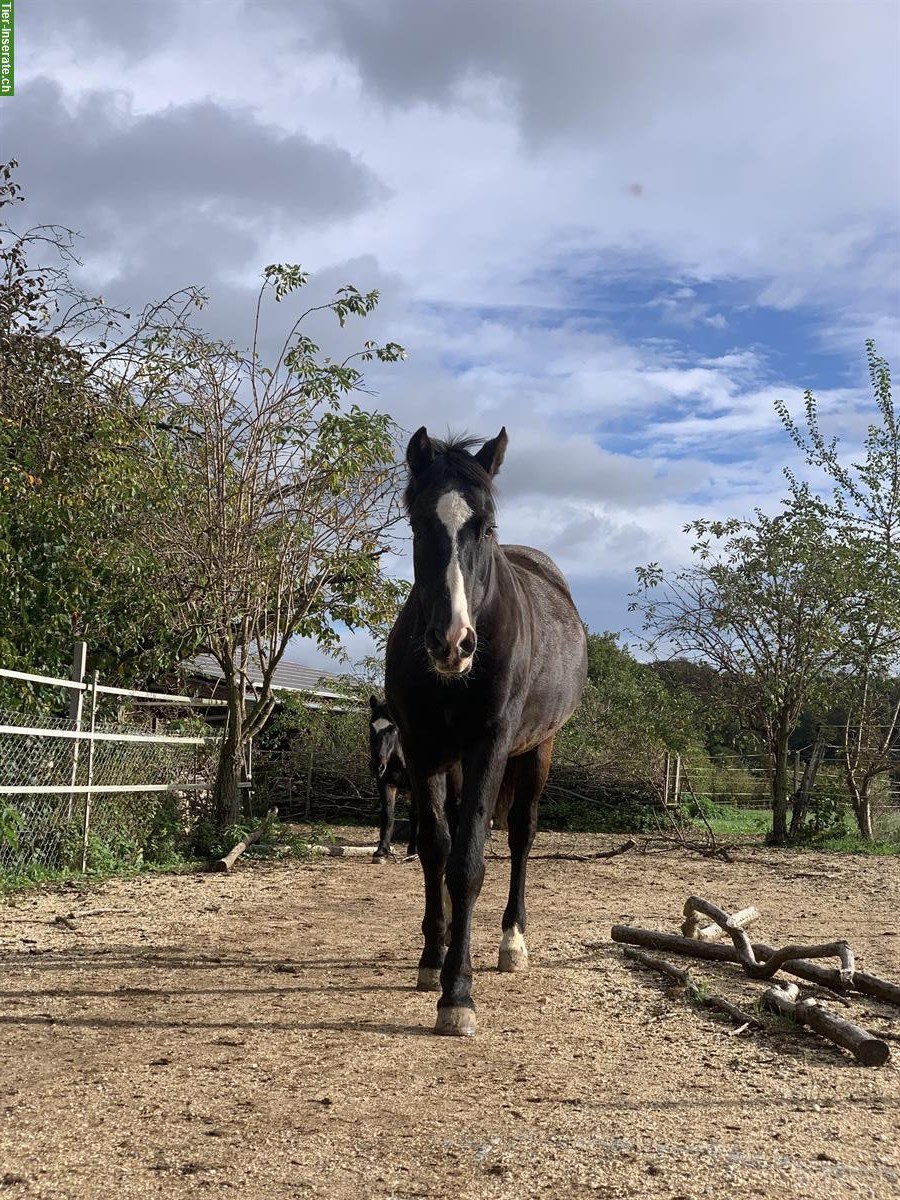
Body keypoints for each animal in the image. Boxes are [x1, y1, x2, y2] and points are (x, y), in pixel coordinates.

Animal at [369, 696, 420, 864]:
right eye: (371, 726)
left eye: (393, 729)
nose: (376, 766)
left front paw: (414, 851)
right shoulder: (386, 784)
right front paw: (381, 851)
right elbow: (388, 815)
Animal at [384, 427, 588, 1036]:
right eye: (417, 522)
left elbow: (470, 862)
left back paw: (510, 942)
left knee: (521, 835)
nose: (452, 642)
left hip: (537, 749)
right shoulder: (421, 749)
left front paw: (458, 993)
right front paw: (435, 959)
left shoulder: (489, 746)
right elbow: (435, 850)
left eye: (487, 525)